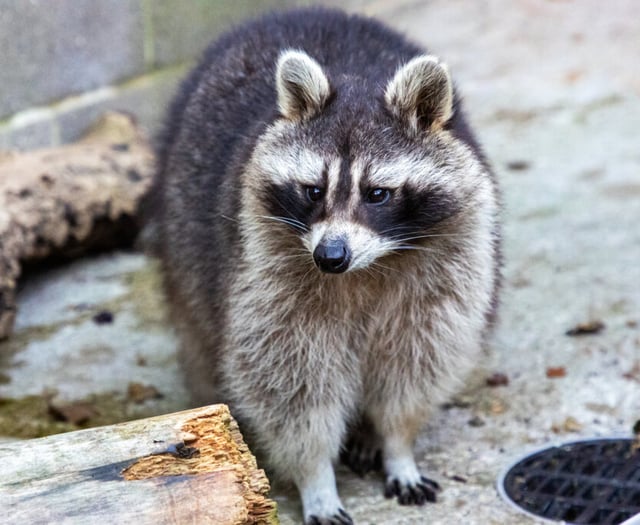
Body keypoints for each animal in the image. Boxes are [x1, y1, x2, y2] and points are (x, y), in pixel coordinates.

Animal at [148, 7, 500, 524]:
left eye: (377, 194)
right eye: (314, 190)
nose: (330, 257)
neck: (365, 268)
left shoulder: (448, 262)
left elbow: (414, 363)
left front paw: (397, 445)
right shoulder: (266, 274)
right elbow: (291, 386)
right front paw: (316, 479)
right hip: (184, 230)